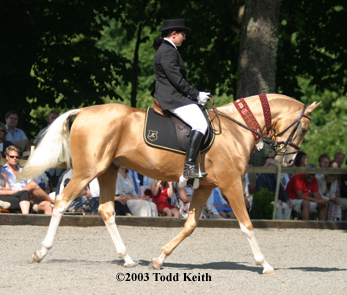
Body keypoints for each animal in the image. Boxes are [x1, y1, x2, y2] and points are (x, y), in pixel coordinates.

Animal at [21, 94, 320, 276]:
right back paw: (40, 251)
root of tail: (83, 110)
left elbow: (190, 225)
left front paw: (160, 258)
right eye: (304, 129)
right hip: (87, 172)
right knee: (61, 202)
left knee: (106, 211)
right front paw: (265, 263)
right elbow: (246, 224)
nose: (288, 159)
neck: (236, 131)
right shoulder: (231, 183)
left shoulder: (204, 187)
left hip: (108, 171)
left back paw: (127, 258)